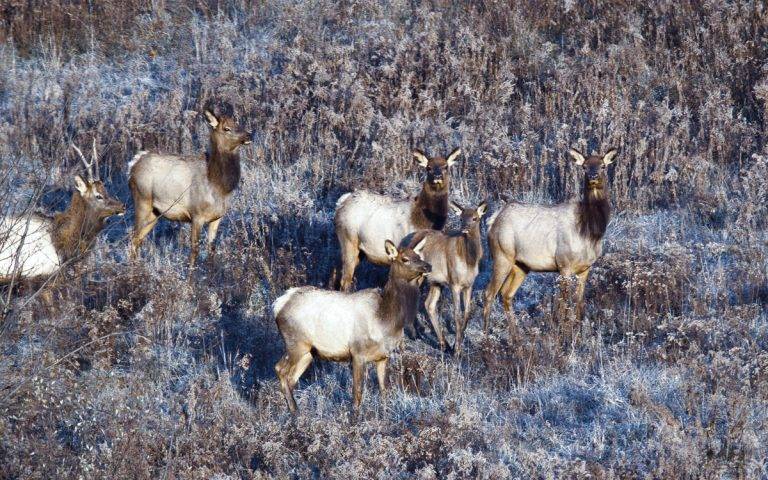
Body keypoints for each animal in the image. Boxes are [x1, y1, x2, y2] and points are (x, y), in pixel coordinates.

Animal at [128, 110, 252, 268]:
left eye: (237, 123)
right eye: (226, 128)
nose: (249, 135)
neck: (219, 186)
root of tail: (133, 164)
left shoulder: (217, 217)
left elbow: (211, 248)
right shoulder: (196, 215)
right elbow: (194, 250)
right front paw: (192, 273)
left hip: (154, 213)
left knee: (138, 240)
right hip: (142, 201)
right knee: (132, 239)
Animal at [273, 238, 431, 413]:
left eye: (418, 255)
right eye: (405, 259)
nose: (428, 266)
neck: (385, 319)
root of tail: (278, 304)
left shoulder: (383, 356)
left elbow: (384, 390)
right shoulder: (357, 352)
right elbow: (357, 392)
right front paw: (355, 416)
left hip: (308, 353)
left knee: (291, 378)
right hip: (296, 343)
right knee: (279, 369)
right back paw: (294, 411)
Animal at [334, 148, 461, 292]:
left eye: (446, 167)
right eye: (428, 168)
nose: (437, 176)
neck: (425, 221)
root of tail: (341, 203)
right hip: (349, 239)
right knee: (345, 279)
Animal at [405, 201, 488, 355]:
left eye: (475, 218)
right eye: (461, 218)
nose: (464, 228)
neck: (469, 260)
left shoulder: (469, 284)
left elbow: (467, 312)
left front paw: (458, 342)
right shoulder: (454, 283)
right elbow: (456, 314)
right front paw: (457, 350)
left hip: (435, 281)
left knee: (429, 304)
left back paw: (444, 344)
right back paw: (415, 335)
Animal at [482, 148, 617, 332]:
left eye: (603, 166)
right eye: (584, 167)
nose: (593, 176)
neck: (590, 231)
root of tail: (493, 220)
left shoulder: (585, 269)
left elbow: (579, 304)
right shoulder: (564, 265)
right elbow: (563, 304)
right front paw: (563, 332)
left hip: (521, 265)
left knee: (506, 294)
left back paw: (516, 336)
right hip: (502, 255)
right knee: (489, 293)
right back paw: (485, 336)